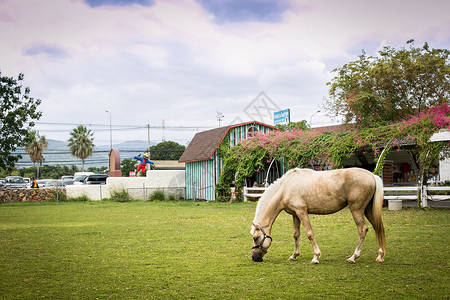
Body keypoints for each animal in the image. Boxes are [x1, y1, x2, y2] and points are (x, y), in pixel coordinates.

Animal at [251, 168, 384, 264]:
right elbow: (296, 234)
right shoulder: (295, 214)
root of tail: (372, 176)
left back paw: (353, 257)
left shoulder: (302, 212)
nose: (254, 257)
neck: (285, 188)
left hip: (357, 210)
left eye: (256, 238)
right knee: (378, 228)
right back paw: (380, 256)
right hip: (368, 210)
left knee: (362, 230)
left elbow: (310, 234)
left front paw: (315, 257)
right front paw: (294, 255)